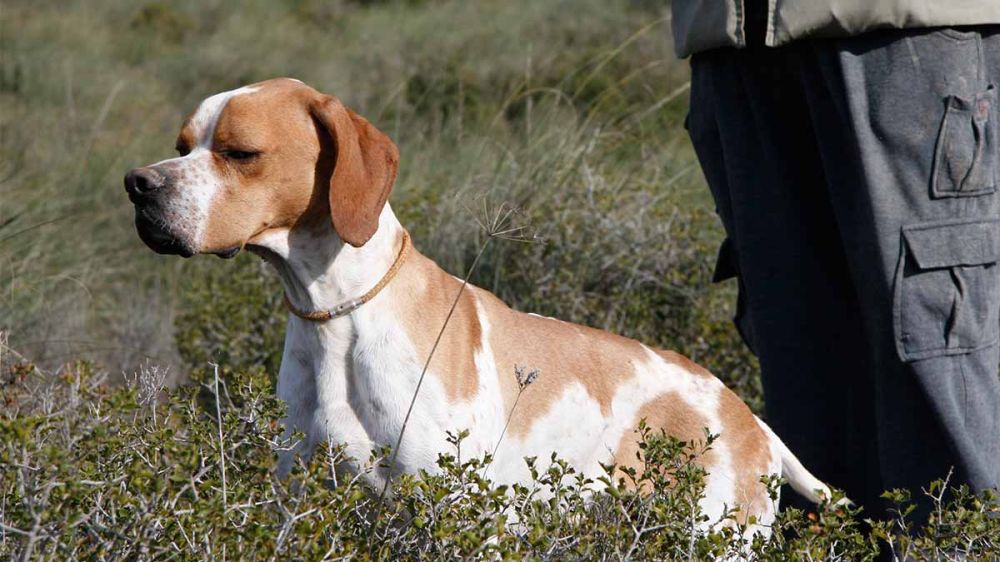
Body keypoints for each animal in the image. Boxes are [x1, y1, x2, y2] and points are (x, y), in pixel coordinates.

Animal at [125, 76, 832, 532]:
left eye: (239, 152)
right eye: (183, 145)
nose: (137, 185)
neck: (338, 318)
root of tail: (747, 415)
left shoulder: (458, 516)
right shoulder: (303, 507)